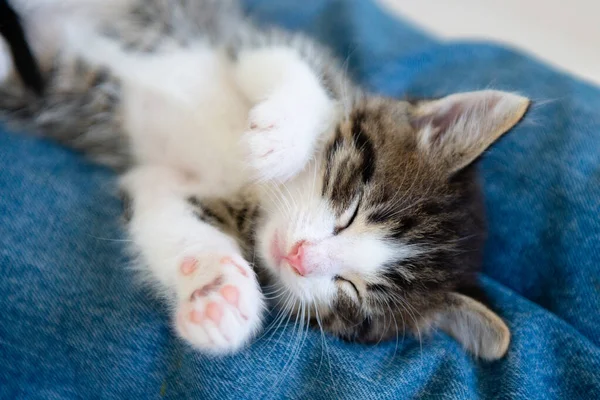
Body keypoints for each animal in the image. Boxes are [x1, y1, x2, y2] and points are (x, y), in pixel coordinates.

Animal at [0, 0, 528, 360]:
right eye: (353, 206)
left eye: (353, 294)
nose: (298, 256)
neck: (259, 196)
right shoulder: (256, 42)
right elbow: (294, 74)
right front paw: (280, 142)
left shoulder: (162, 178)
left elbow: (165, 217)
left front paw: (214, 296)